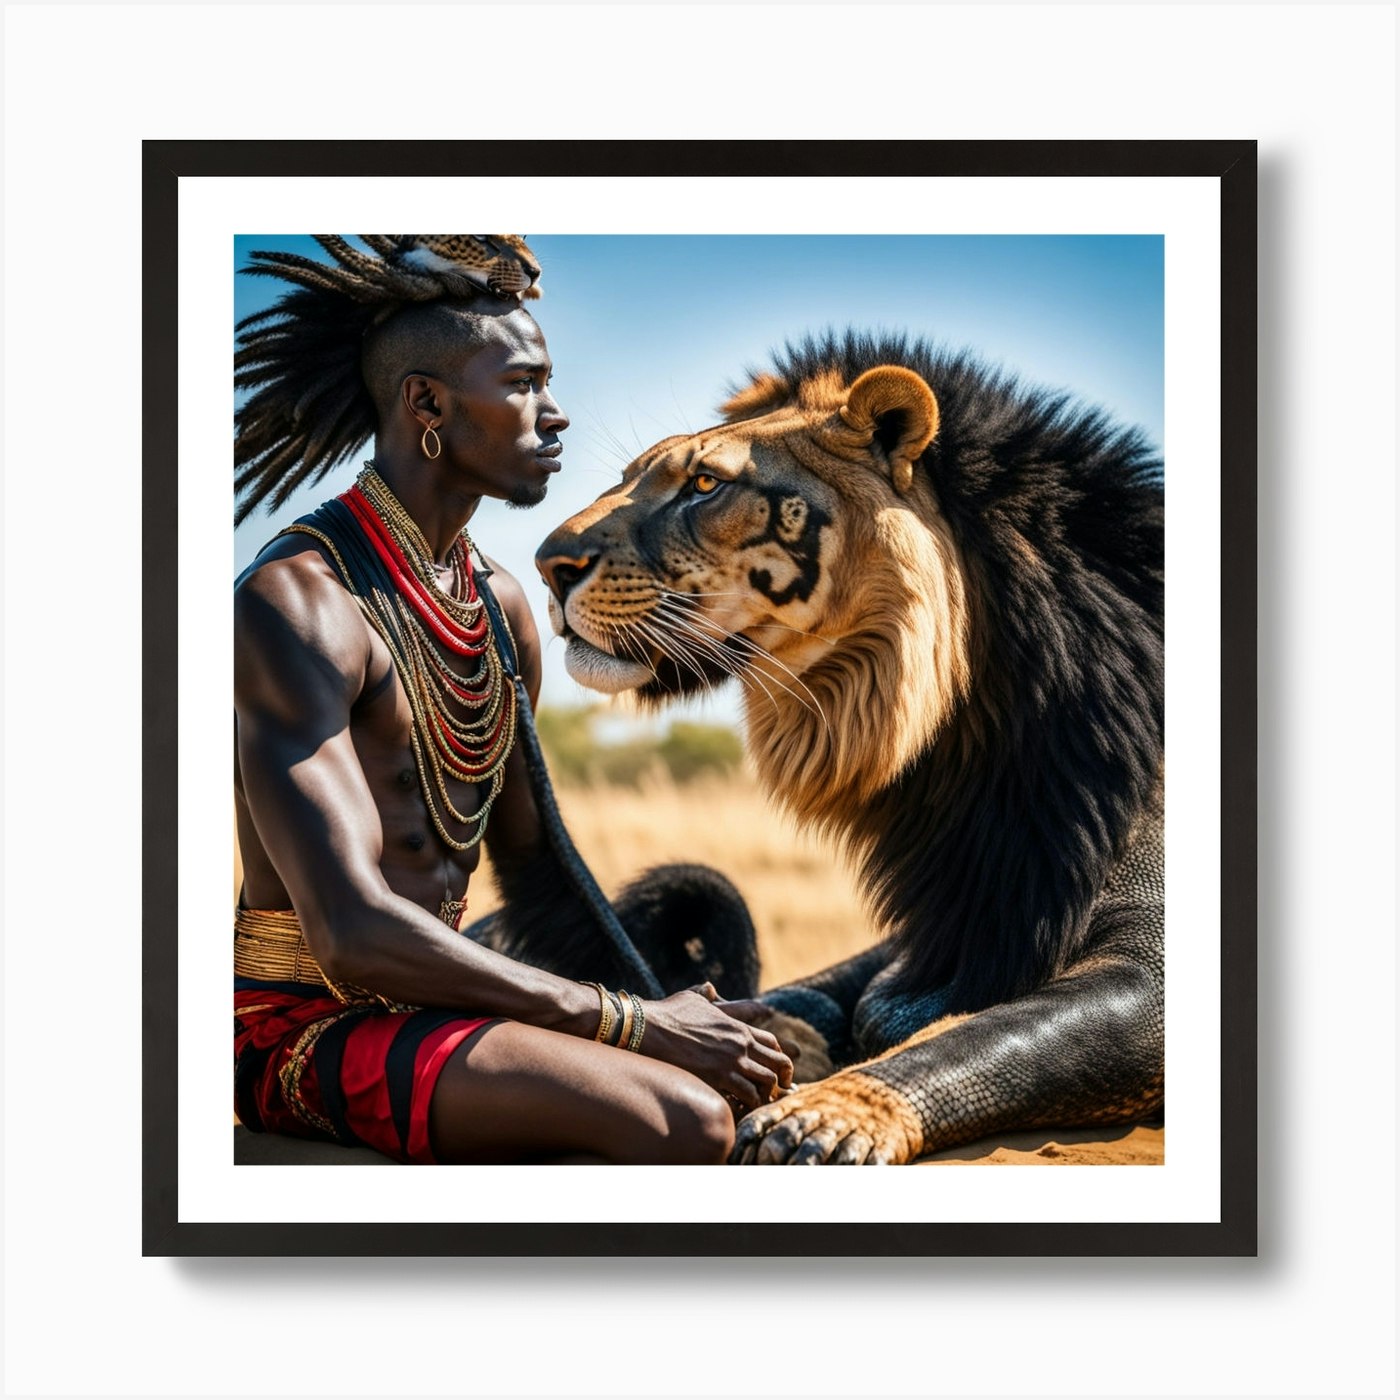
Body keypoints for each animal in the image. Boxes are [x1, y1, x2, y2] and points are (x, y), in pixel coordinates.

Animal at [534, 331, 1165, 1166]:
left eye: (704, 484)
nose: (548, 565)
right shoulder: (933, 929)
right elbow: (825, 998)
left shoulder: (1146, 964)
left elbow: (975, 1038)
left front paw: (816, 1121)